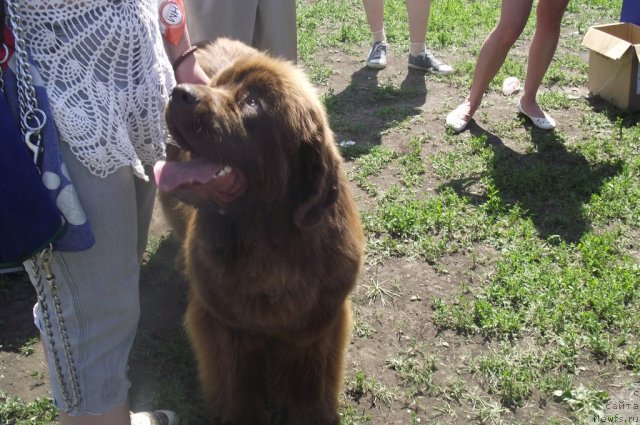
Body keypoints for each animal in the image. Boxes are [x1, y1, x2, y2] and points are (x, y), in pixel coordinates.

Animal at [154, 38, 364, 422]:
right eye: (217, 84)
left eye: (252, 102)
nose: (179, 92)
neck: (267, 246)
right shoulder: (226, 325)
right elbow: (237, 384)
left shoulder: (317, 326)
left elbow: (310, 383)